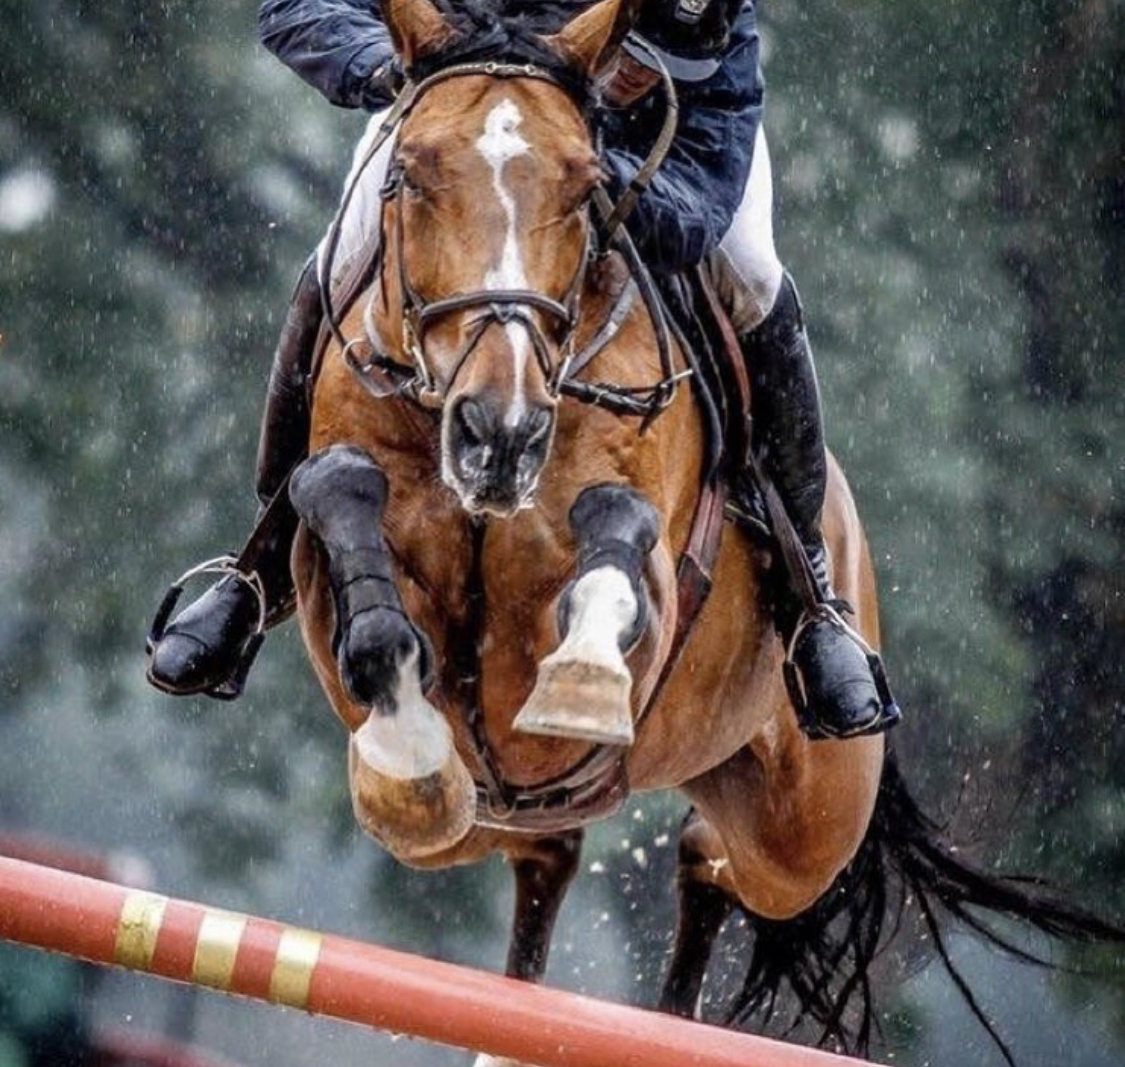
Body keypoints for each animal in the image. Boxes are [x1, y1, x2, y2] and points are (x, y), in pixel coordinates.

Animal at [288, 0, 1116, 1057]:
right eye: (408, 174)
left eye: (587, 186)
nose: (499, 432)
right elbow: (351, 535)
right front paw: (406, 753)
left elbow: (613, 547)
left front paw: (582, 676)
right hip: (522, 816)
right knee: (555, 849)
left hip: (803, 827)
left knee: (708, 858)